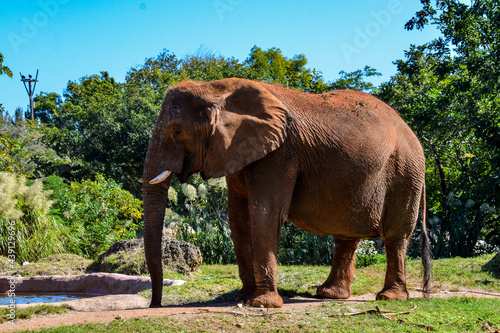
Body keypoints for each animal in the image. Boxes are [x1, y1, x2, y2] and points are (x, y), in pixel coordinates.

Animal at [143, 76, 432, 308]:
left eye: (178, 131)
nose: (154, 305)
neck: (215, 88)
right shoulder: (237, 152)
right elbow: (239, 219)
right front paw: (242, 298)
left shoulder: (280, 153)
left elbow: (265, 214)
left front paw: (262, 304)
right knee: (346, 237)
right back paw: (329, 295)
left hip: (405, 173)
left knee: (395, 236)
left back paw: (389, 298)